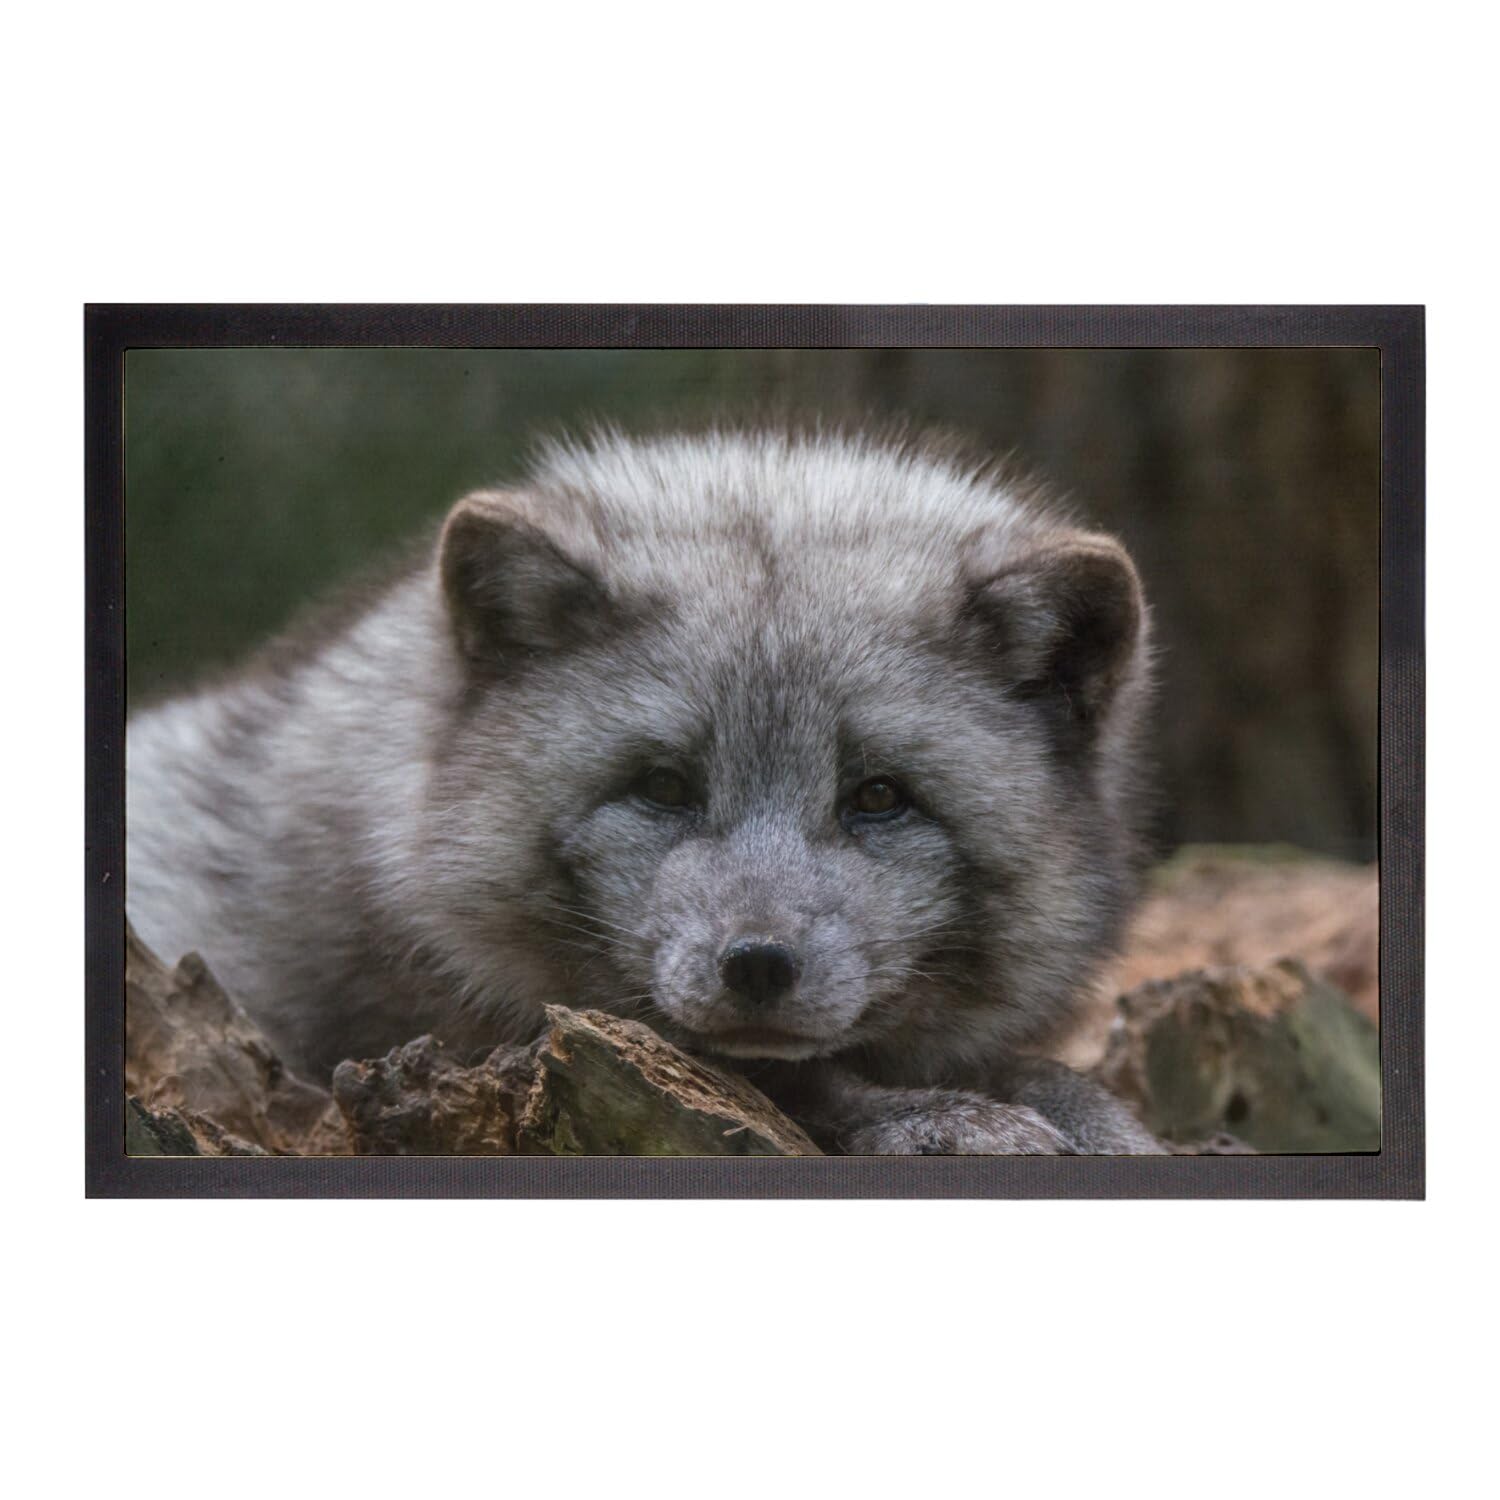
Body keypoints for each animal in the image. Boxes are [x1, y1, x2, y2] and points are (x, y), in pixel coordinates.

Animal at [127, 425, 1164, 1154]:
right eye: (663, 784)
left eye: (878, 797)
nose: (758, 965)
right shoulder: (419, 1034)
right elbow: (802, 1086)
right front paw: (936, 1117)